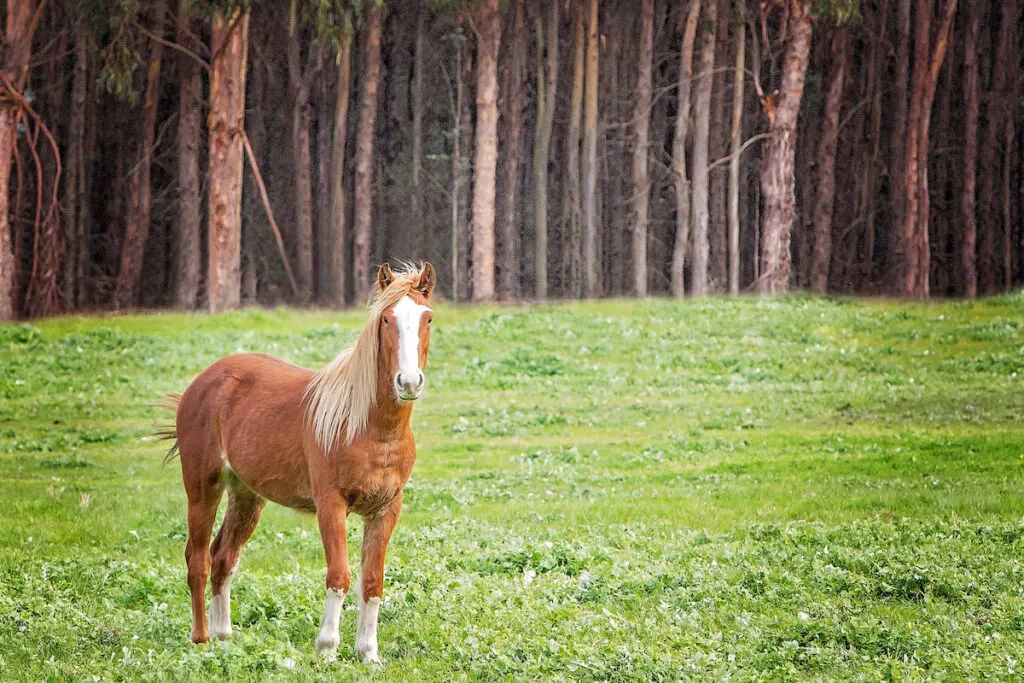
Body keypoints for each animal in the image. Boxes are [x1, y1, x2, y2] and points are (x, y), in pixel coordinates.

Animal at [161, 262, 434, 663]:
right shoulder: (330, 504)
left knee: (224, 557)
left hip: (246, 496)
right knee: (197, 559)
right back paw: (202, 640)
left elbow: (372, 581)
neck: (368, 427)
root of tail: (203, 382)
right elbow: (339, 575)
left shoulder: (386, 509)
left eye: (427, 318)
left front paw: (369, 654)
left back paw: (225, 638)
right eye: (387, 319)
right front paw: (328, 649)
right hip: (202, 488)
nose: (409, 381)